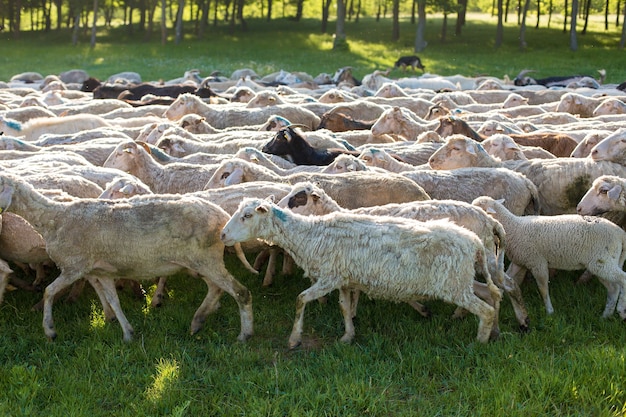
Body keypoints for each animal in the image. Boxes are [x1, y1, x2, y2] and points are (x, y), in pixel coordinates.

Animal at [0, 172, 256, 342]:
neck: (54, 218)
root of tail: (223, 219)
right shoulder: (100, 271)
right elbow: (114, 301)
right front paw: (127, 332)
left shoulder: (74, 267)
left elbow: (48, 291)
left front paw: (50, 330)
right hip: (201, 262)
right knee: (216, 288)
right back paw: (198, 321)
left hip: (206, 259)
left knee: (240, 292)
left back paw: (244, 334)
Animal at [222, 197, 500, 346]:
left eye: (247, 215)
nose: (223, 235)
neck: (309, 235)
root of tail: (474, 241)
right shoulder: (345, 279)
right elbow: (345, 307)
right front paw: (348, 336)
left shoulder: (329, 277)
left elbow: (301, 299)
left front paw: (294, 338)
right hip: (459, 280)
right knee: (492, 294)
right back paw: (494, 331)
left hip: (454, 283)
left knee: (485, 308)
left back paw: (480, 341)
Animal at [278, 180, 528, 330]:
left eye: (297, 198)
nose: (277, 208)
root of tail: (490, 221)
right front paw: (354, 314)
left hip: (485, 258)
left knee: (510, 285)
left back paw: (521, 320)